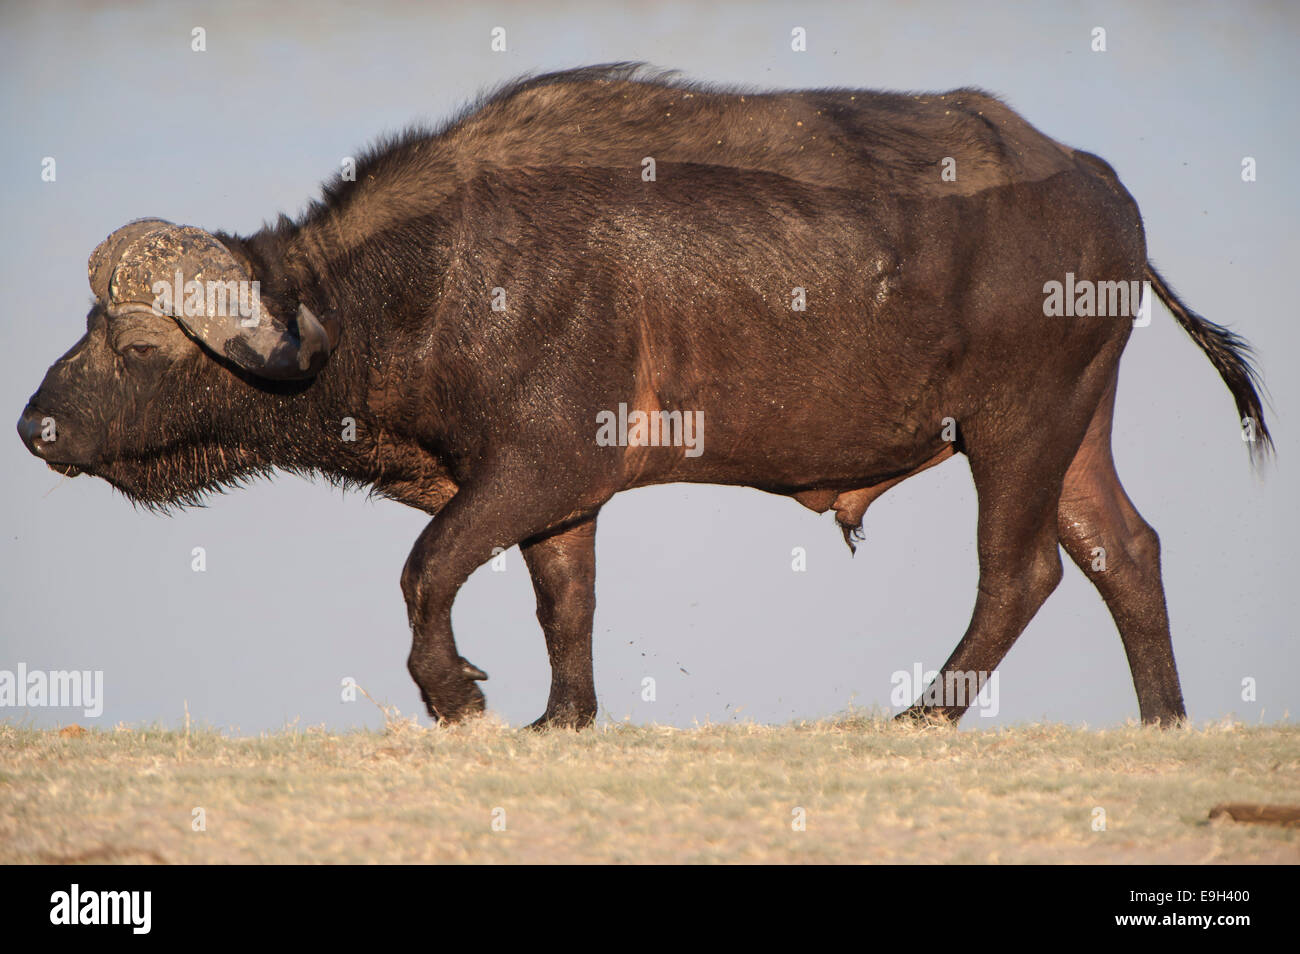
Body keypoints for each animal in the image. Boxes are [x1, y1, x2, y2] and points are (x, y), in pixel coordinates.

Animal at [15, 65, 1263, 722]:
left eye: (134, 342)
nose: (33, 426)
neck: (427, 278)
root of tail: (1100, 189)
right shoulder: (558, 497)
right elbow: (563, 604)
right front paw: (560, 717)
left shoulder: (536, 467)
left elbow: (426, 568)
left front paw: (455, 694)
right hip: (1073, 426)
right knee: (1121, 550)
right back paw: (1162, 721)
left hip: (1014, 428)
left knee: (1024, 570)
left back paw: (924, 711)